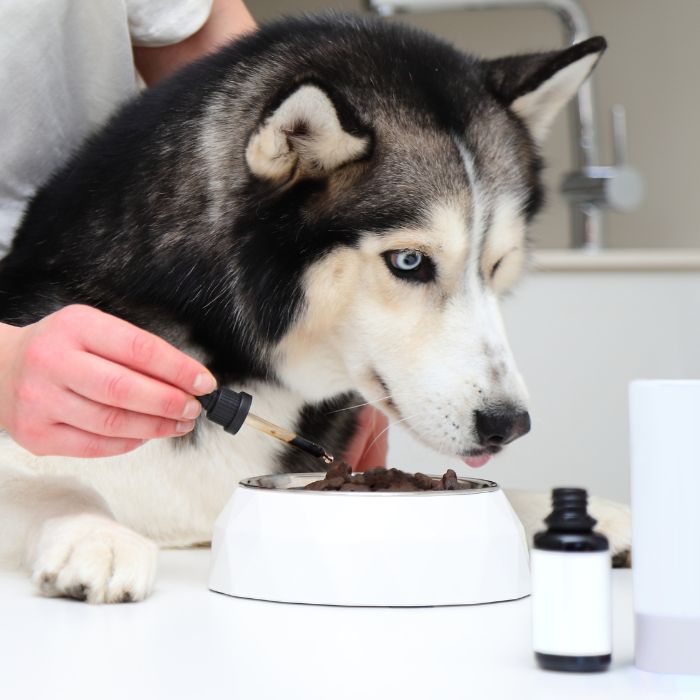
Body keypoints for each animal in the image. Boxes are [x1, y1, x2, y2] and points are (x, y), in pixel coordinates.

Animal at [0, 13, 632, 604]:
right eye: (409, 262)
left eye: (497, 266)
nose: (510, 424)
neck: (235, 361)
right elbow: (56, 484)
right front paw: (96, 535)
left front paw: (584, 513)